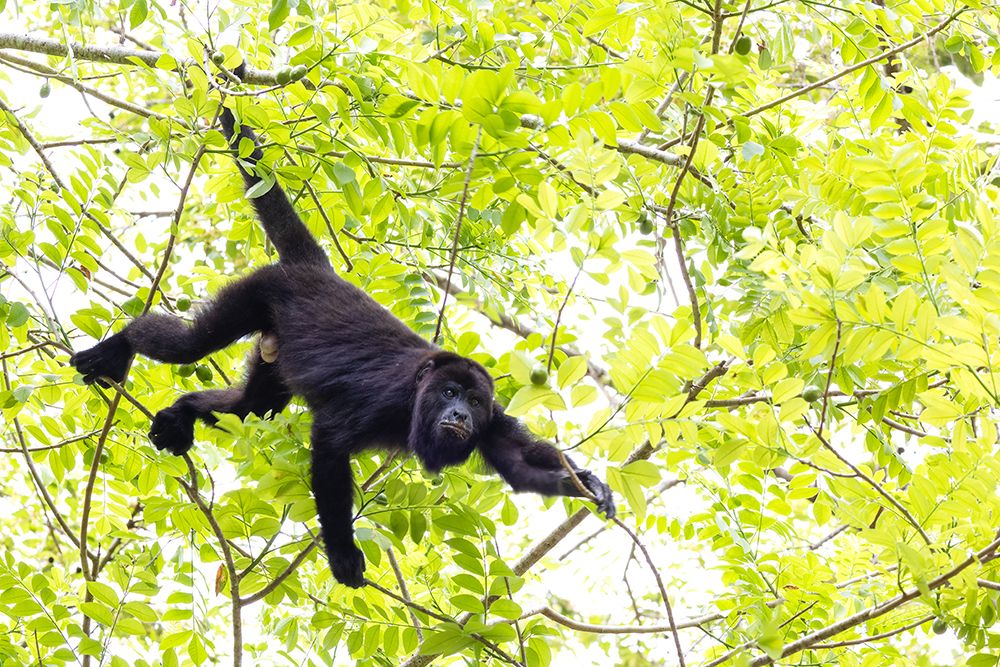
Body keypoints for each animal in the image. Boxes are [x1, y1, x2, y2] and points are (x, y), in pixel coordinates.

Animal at [70, 98, 615, 588]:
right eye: (448, 393)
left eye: (475, 401)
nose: (460, 415)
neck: (418, 402)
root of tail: (314, 269)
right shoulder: (384, 400)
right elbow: (330, 443)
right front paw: (343, 553)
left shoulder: (496, 424)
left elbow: (521, 468)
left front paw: (584, 484)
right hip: (256, 291)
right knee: (190, 345)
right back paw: (116, 350)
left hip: (271, 350)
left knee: (252, 406)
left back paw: (180, 413)